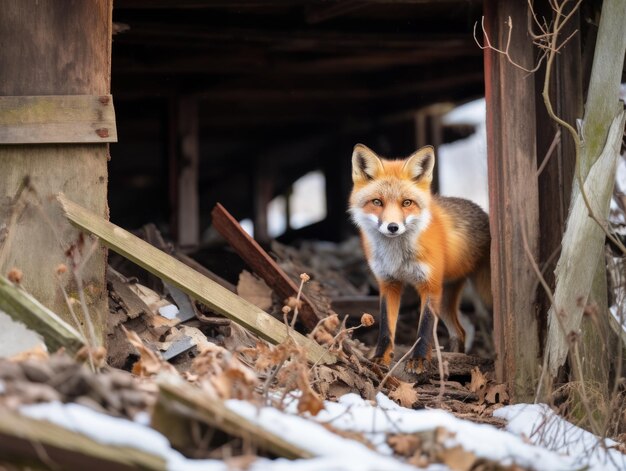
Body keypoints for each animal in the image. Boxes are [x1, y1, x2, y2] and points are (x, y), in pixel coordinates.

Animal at [348, 146, 490, 374]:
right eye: (377, 202)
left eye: (407, 203)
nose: (393, 227)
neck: (397, 256)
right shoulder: (388, 284)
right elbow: (386, 327)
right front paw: (380, 358)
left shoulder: (430, 285)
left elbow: (424, 328)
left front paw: (419, 360)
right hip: (445, 300)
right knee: (459, 332)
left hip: (482, 295)